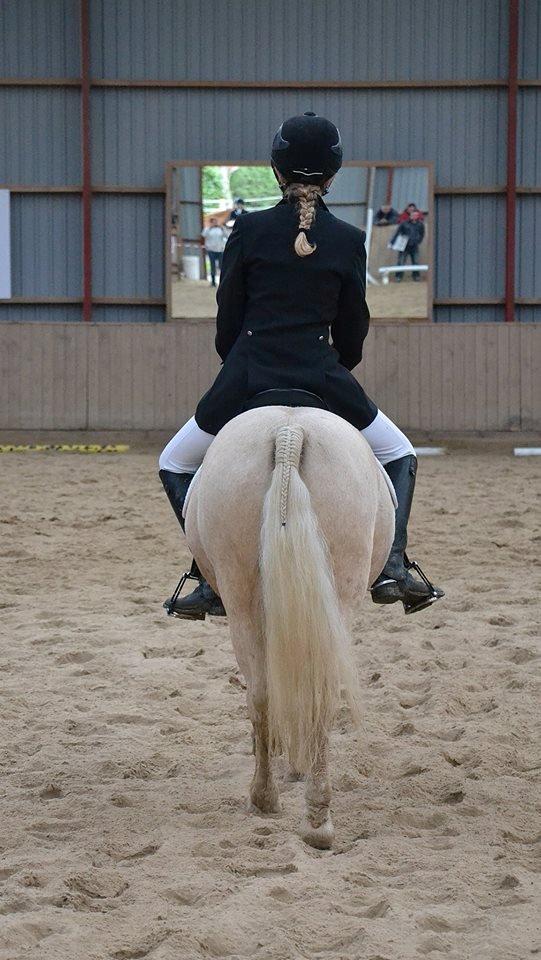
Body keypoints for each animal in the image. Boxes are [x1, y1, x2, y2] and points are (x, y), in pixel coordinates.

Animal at [184, 405, 395, 849]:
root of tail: (289, 430)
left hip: (244, 598)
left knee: (267, 694)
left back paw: (277, 801)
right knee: (310, 695)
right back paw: (306, 814)